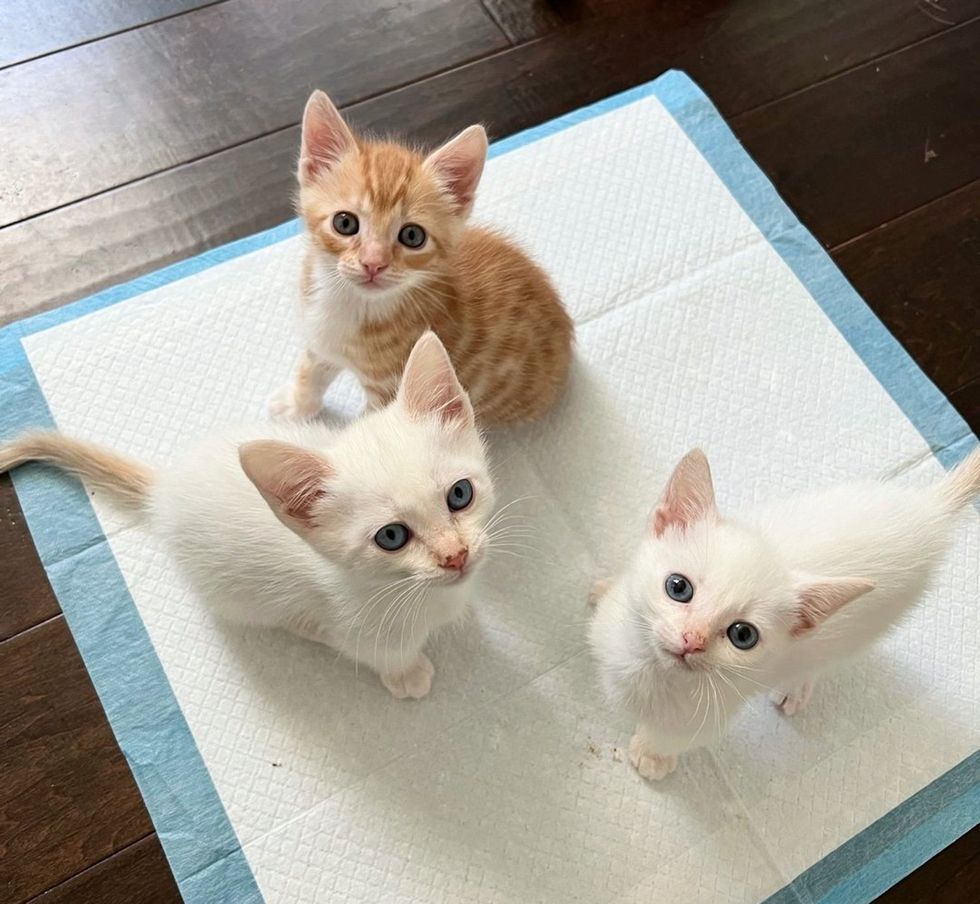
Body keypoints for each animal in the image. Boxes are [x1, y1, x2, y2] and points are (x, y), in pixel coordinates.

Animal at [0, 332, 490, 700]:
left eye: (460, 494)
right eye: (391, 536)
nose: (456, 556)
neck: (408, 594)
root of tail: (165, 489)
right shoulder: (357, 629)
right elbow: (378, 653)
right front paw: (406, 675)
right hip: (235, 592)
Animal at [268, 90, 576, 426]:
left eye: (412, 236)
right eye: (345, 223)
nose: (373, 263)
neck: (351, 303)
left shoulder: (389, 387)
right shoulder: (320, 339)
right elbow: (311, 368)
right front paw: (297, 406)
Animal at [588, 444, 980, 776]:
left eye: (743, 635)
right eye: (678, 587)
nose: (692, 640)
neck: (651, 669)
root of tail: (930, 511)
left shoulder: (702, 718)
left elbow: (670, 738)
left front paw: (651, 755)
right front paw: (607, 589)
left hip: (867, 626)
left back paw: (797, 686)